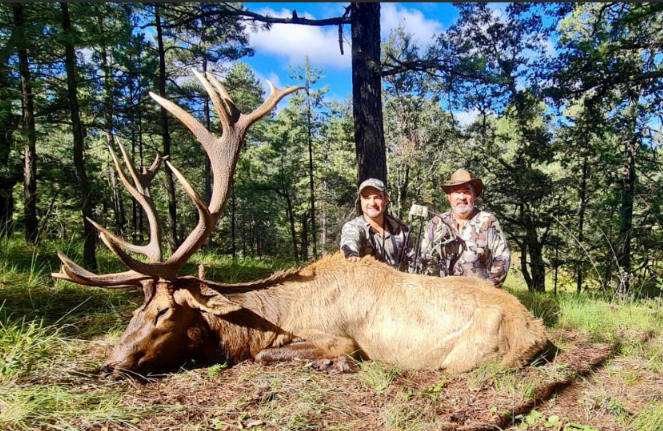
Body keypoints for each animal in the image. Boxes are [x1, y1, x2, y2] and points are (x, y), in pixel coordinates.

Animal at [52, 70, 554, 377]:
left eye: (164, 312)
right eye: (136, 310)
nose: (111, 361)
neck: (266, 320)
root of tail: (539, 331)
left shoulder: (339, 339)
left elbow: (272, 355)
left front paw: (330, 366)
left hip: (465, 358)